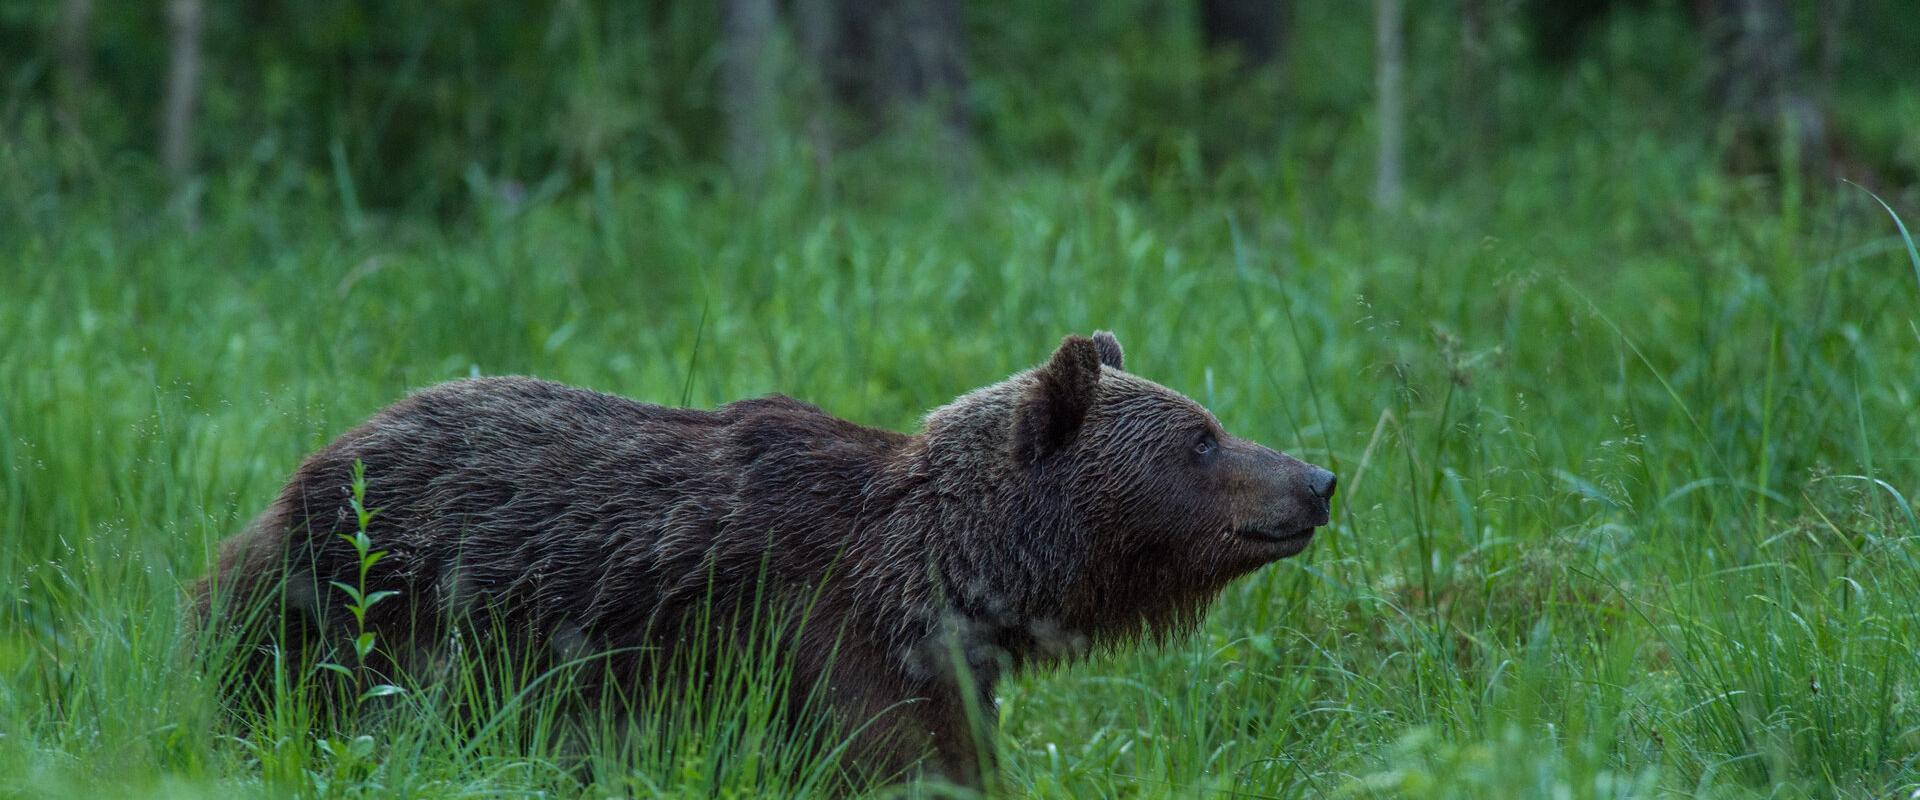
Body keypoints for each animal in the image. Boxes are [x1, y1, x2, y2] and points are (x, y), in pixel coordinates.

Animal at [198, 328, 1336, 786]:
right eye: (1202, 439)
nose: (1319, 478)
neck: (953, 572)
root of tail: (306, 465)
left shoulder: (945, 667)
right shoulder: (821, 641)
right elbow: (893, 762)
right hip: (362, 611)